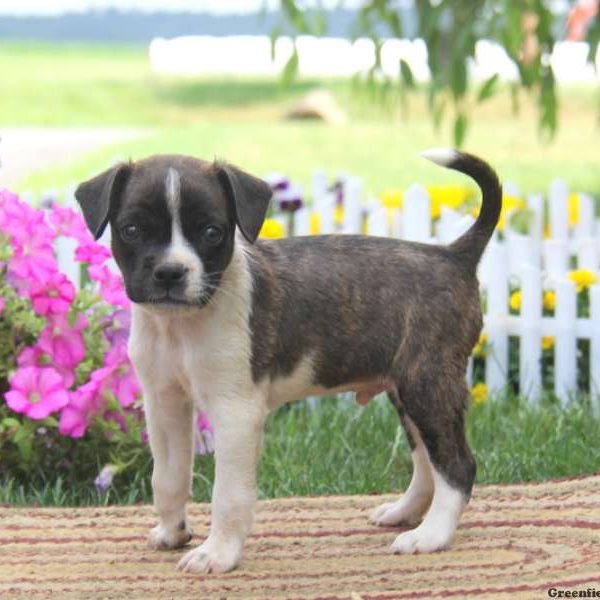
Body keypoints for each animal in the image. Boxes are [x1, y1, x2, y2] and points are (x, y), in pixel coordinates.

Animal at [75, 149, 502, 572]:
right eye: (132, 230)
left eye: (212, 232)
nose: (170, 272)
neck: (180, 326)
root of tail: (453, 255)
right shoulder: (165, 405)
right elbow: (167, 477)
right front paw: (172, 532)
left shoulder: (235, 413)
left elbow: (227, 494)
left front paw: (218, 553)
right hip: (407, 390)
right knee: (427, 460)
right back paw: (405, 513)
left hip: (426, 384)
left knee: (457, 464)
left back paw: (431, 536)